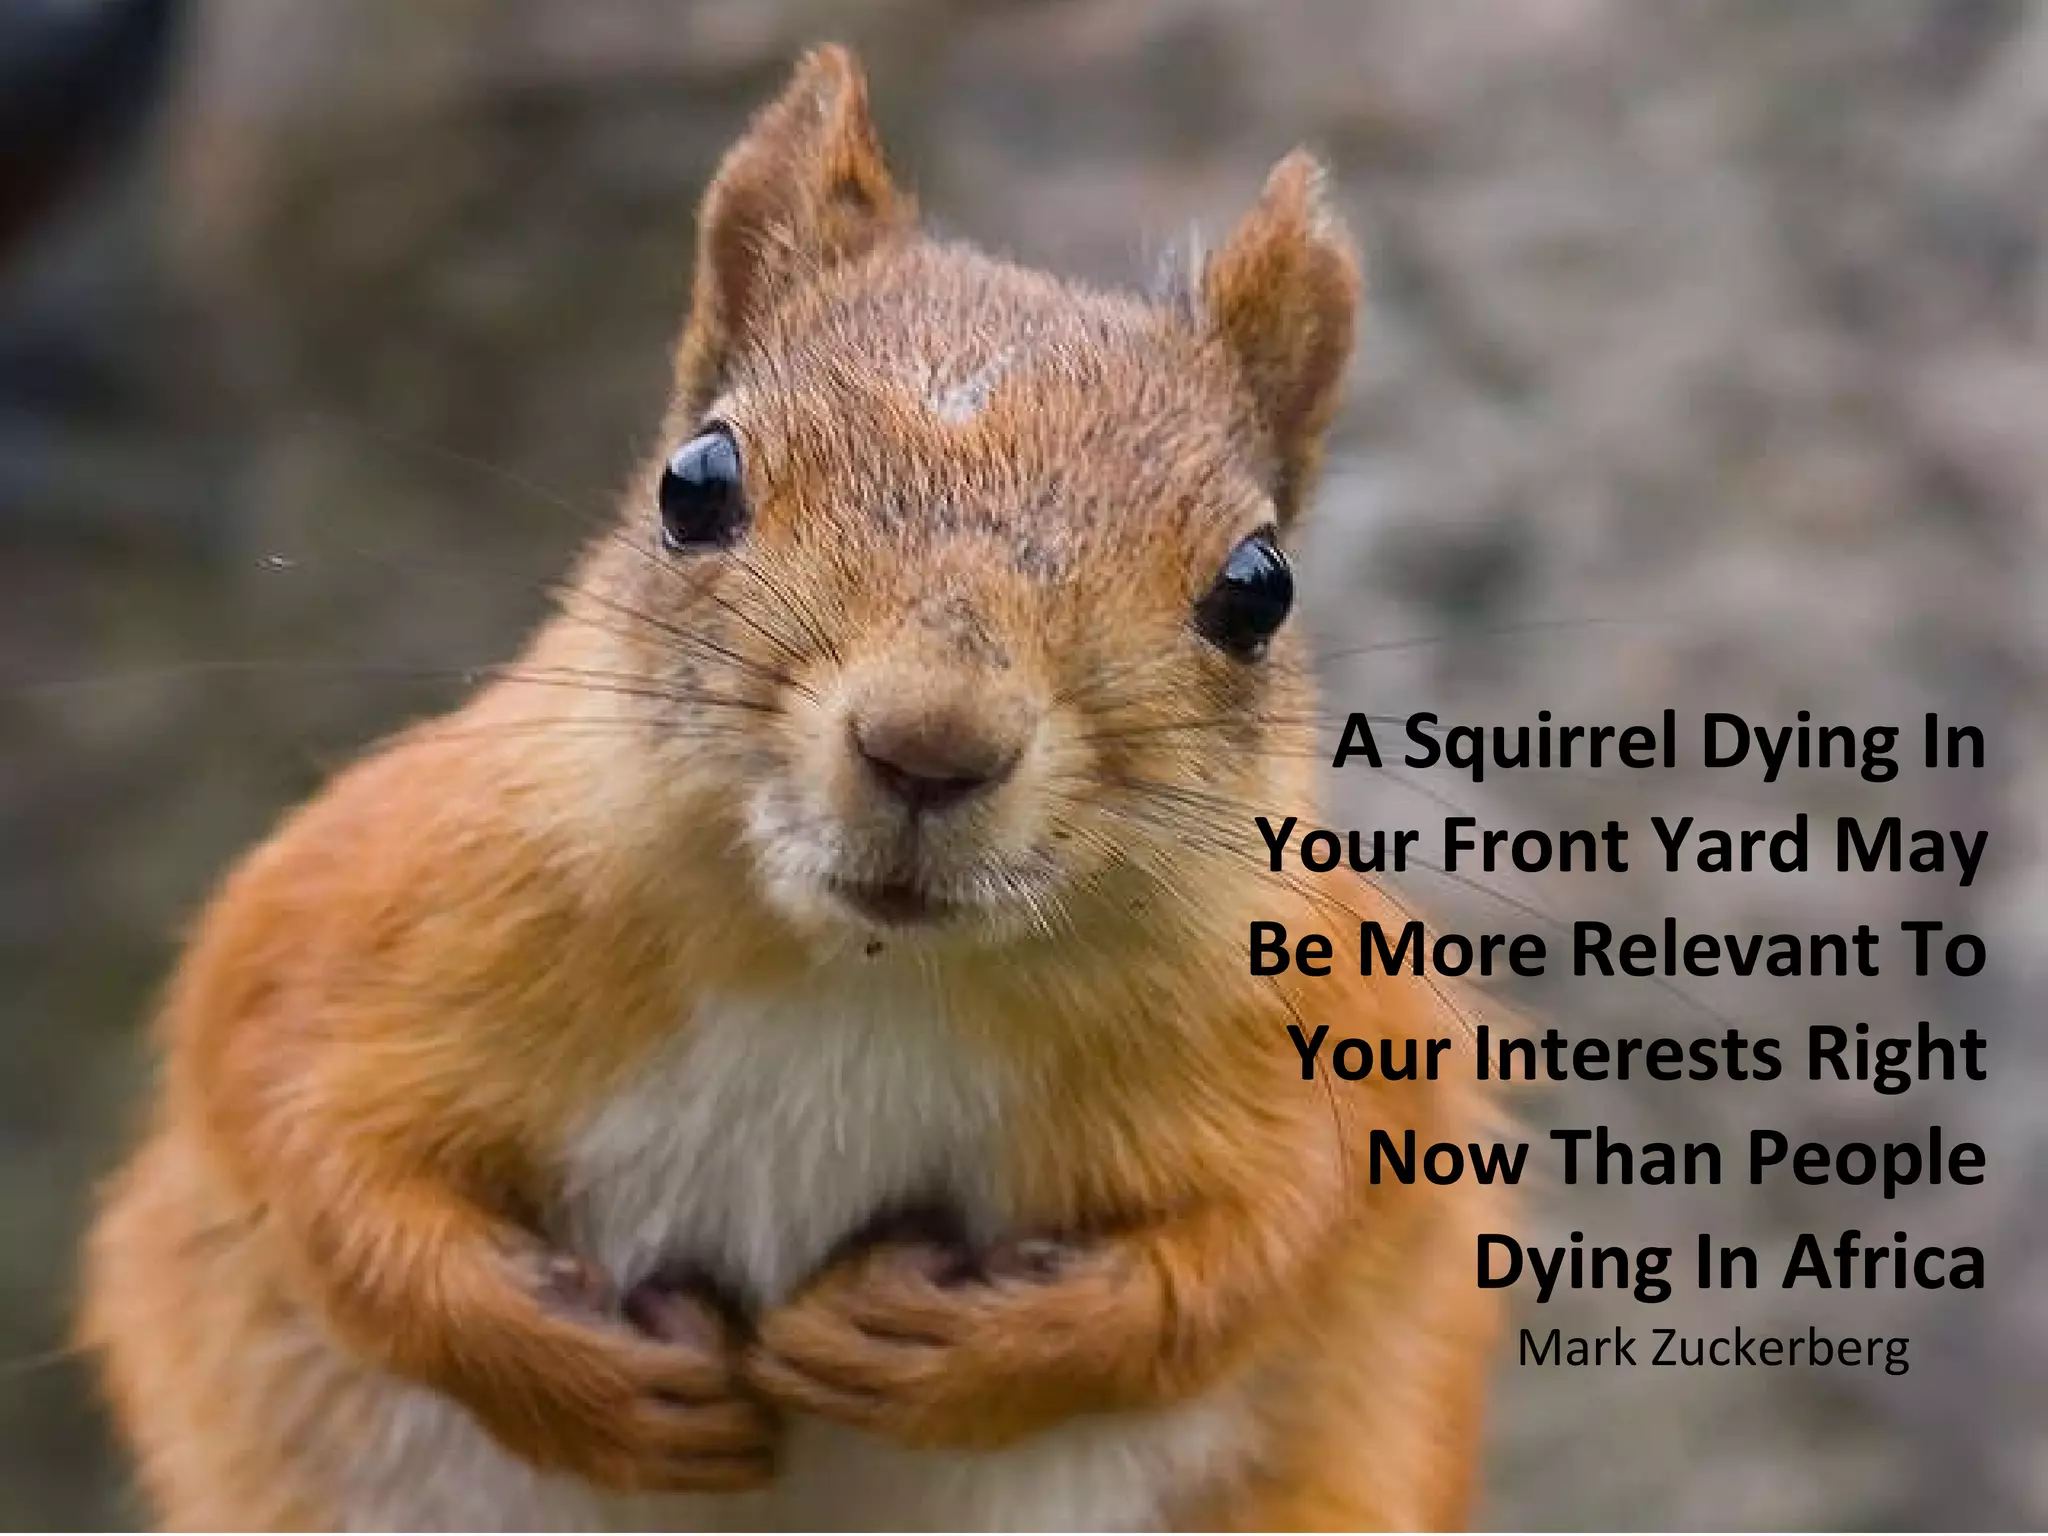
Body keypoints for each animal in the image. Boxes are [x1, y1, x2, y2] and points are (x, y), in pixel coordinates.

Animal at [79, 45, 1504, 1532]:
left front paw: (956, 1350)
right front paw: (581, 1375)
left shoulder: (1320, 1028)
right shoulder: (361, 918)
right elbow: (299, 1140)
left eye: (1256, 587)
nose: (929, 743)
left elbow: (1269, 1242)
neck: (856, 975)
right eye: (694, 483)